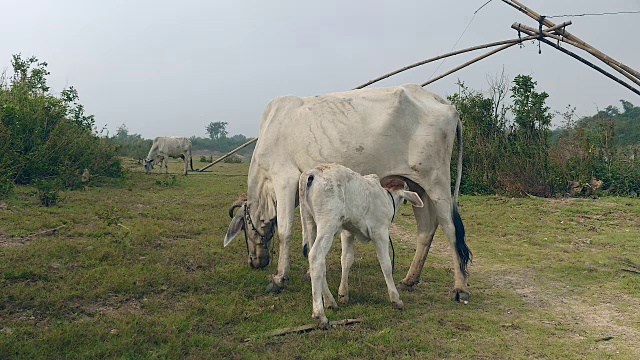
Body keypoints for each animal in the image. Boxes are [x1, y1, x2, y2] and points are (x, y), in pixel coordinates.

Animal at [222, 83, 472, 300]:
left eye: (243, 228)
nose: (254, 262)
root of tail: (442, 102)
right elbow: (310, 237)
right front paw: (309, 273)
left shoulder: (285, 179)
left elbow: (285, 232)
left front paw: (279, 278)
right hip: (419, 186)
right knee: (426, 229)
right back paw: (409, 280)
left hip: (437, 182)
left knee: (450, 229)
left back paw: (460, 288)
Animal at [300, 164, 424, 330]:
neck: (387, 196)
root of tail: (312, 172)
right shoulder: (380, 233)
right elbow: (386, 265)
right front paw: (396, 299)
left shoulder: (347, 232)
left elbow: (346, 260)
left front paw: (343, 294)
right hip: (328, 224)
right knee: (316, 257)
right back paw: (320, 314)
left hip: (311, 223)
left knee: (317, 262)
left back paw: (330, 301)